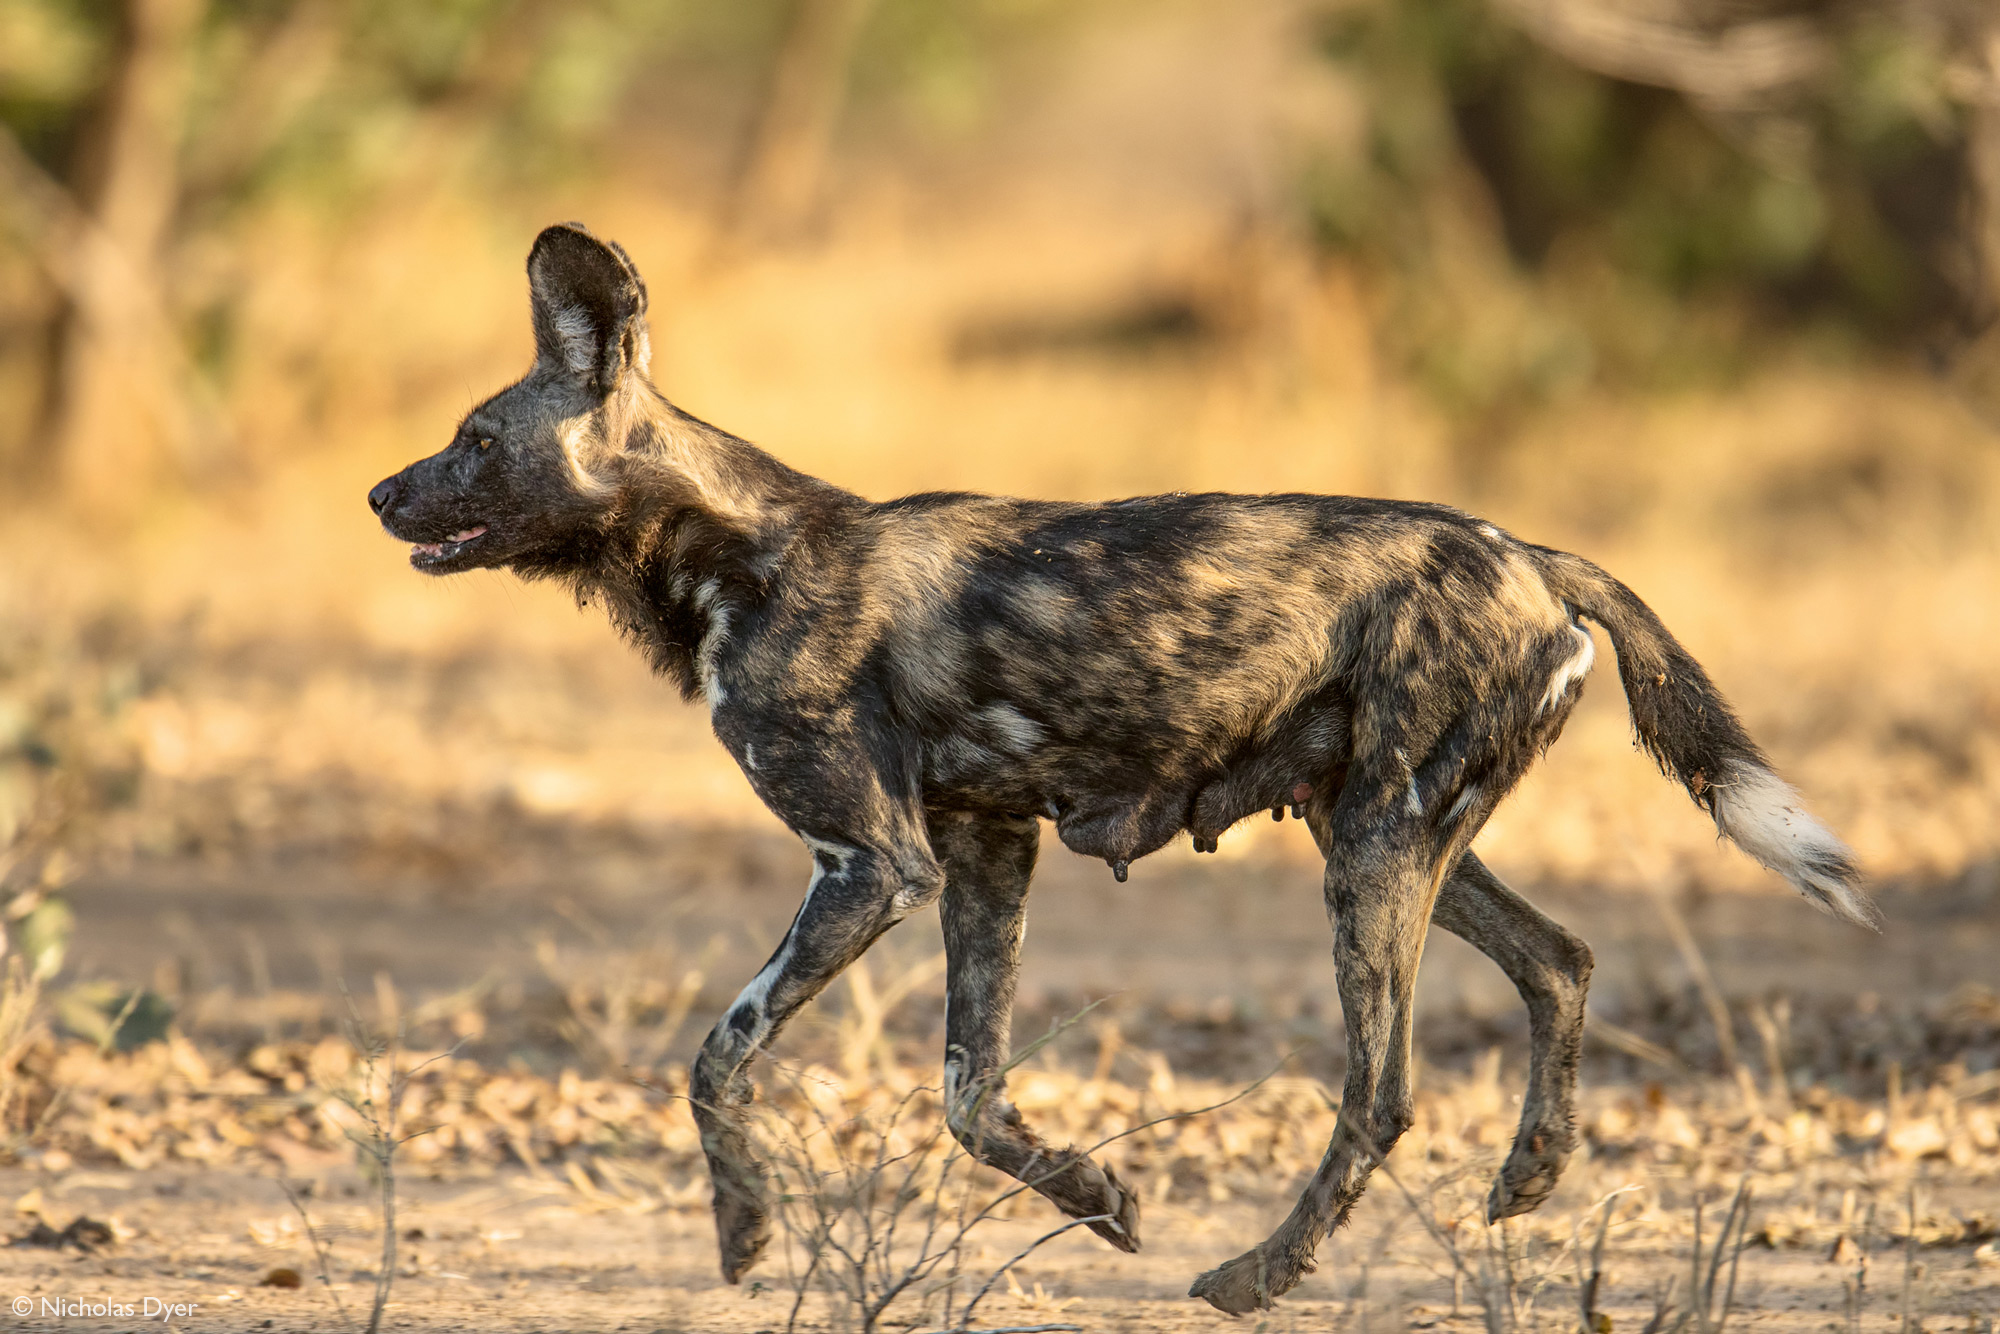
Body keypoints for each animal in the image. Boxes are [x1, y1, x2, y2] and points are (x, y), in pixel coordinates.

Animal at [364, 227, 1872, 1312]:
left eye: (475, 439)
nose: (380, 491)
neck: (740, 553)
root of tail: (1534, 554)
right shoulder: (979, 849)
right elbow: (970, 1094)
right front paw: (1097, 1197)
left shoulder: (870, 867)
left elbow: (716, 1055)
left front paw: (743, 1232)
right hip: (1387, 833)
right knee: (1558, 958)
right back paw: (1528, 1180)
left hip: (1375, 856)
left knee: (1380, 1088)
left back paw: (1256, 1277)